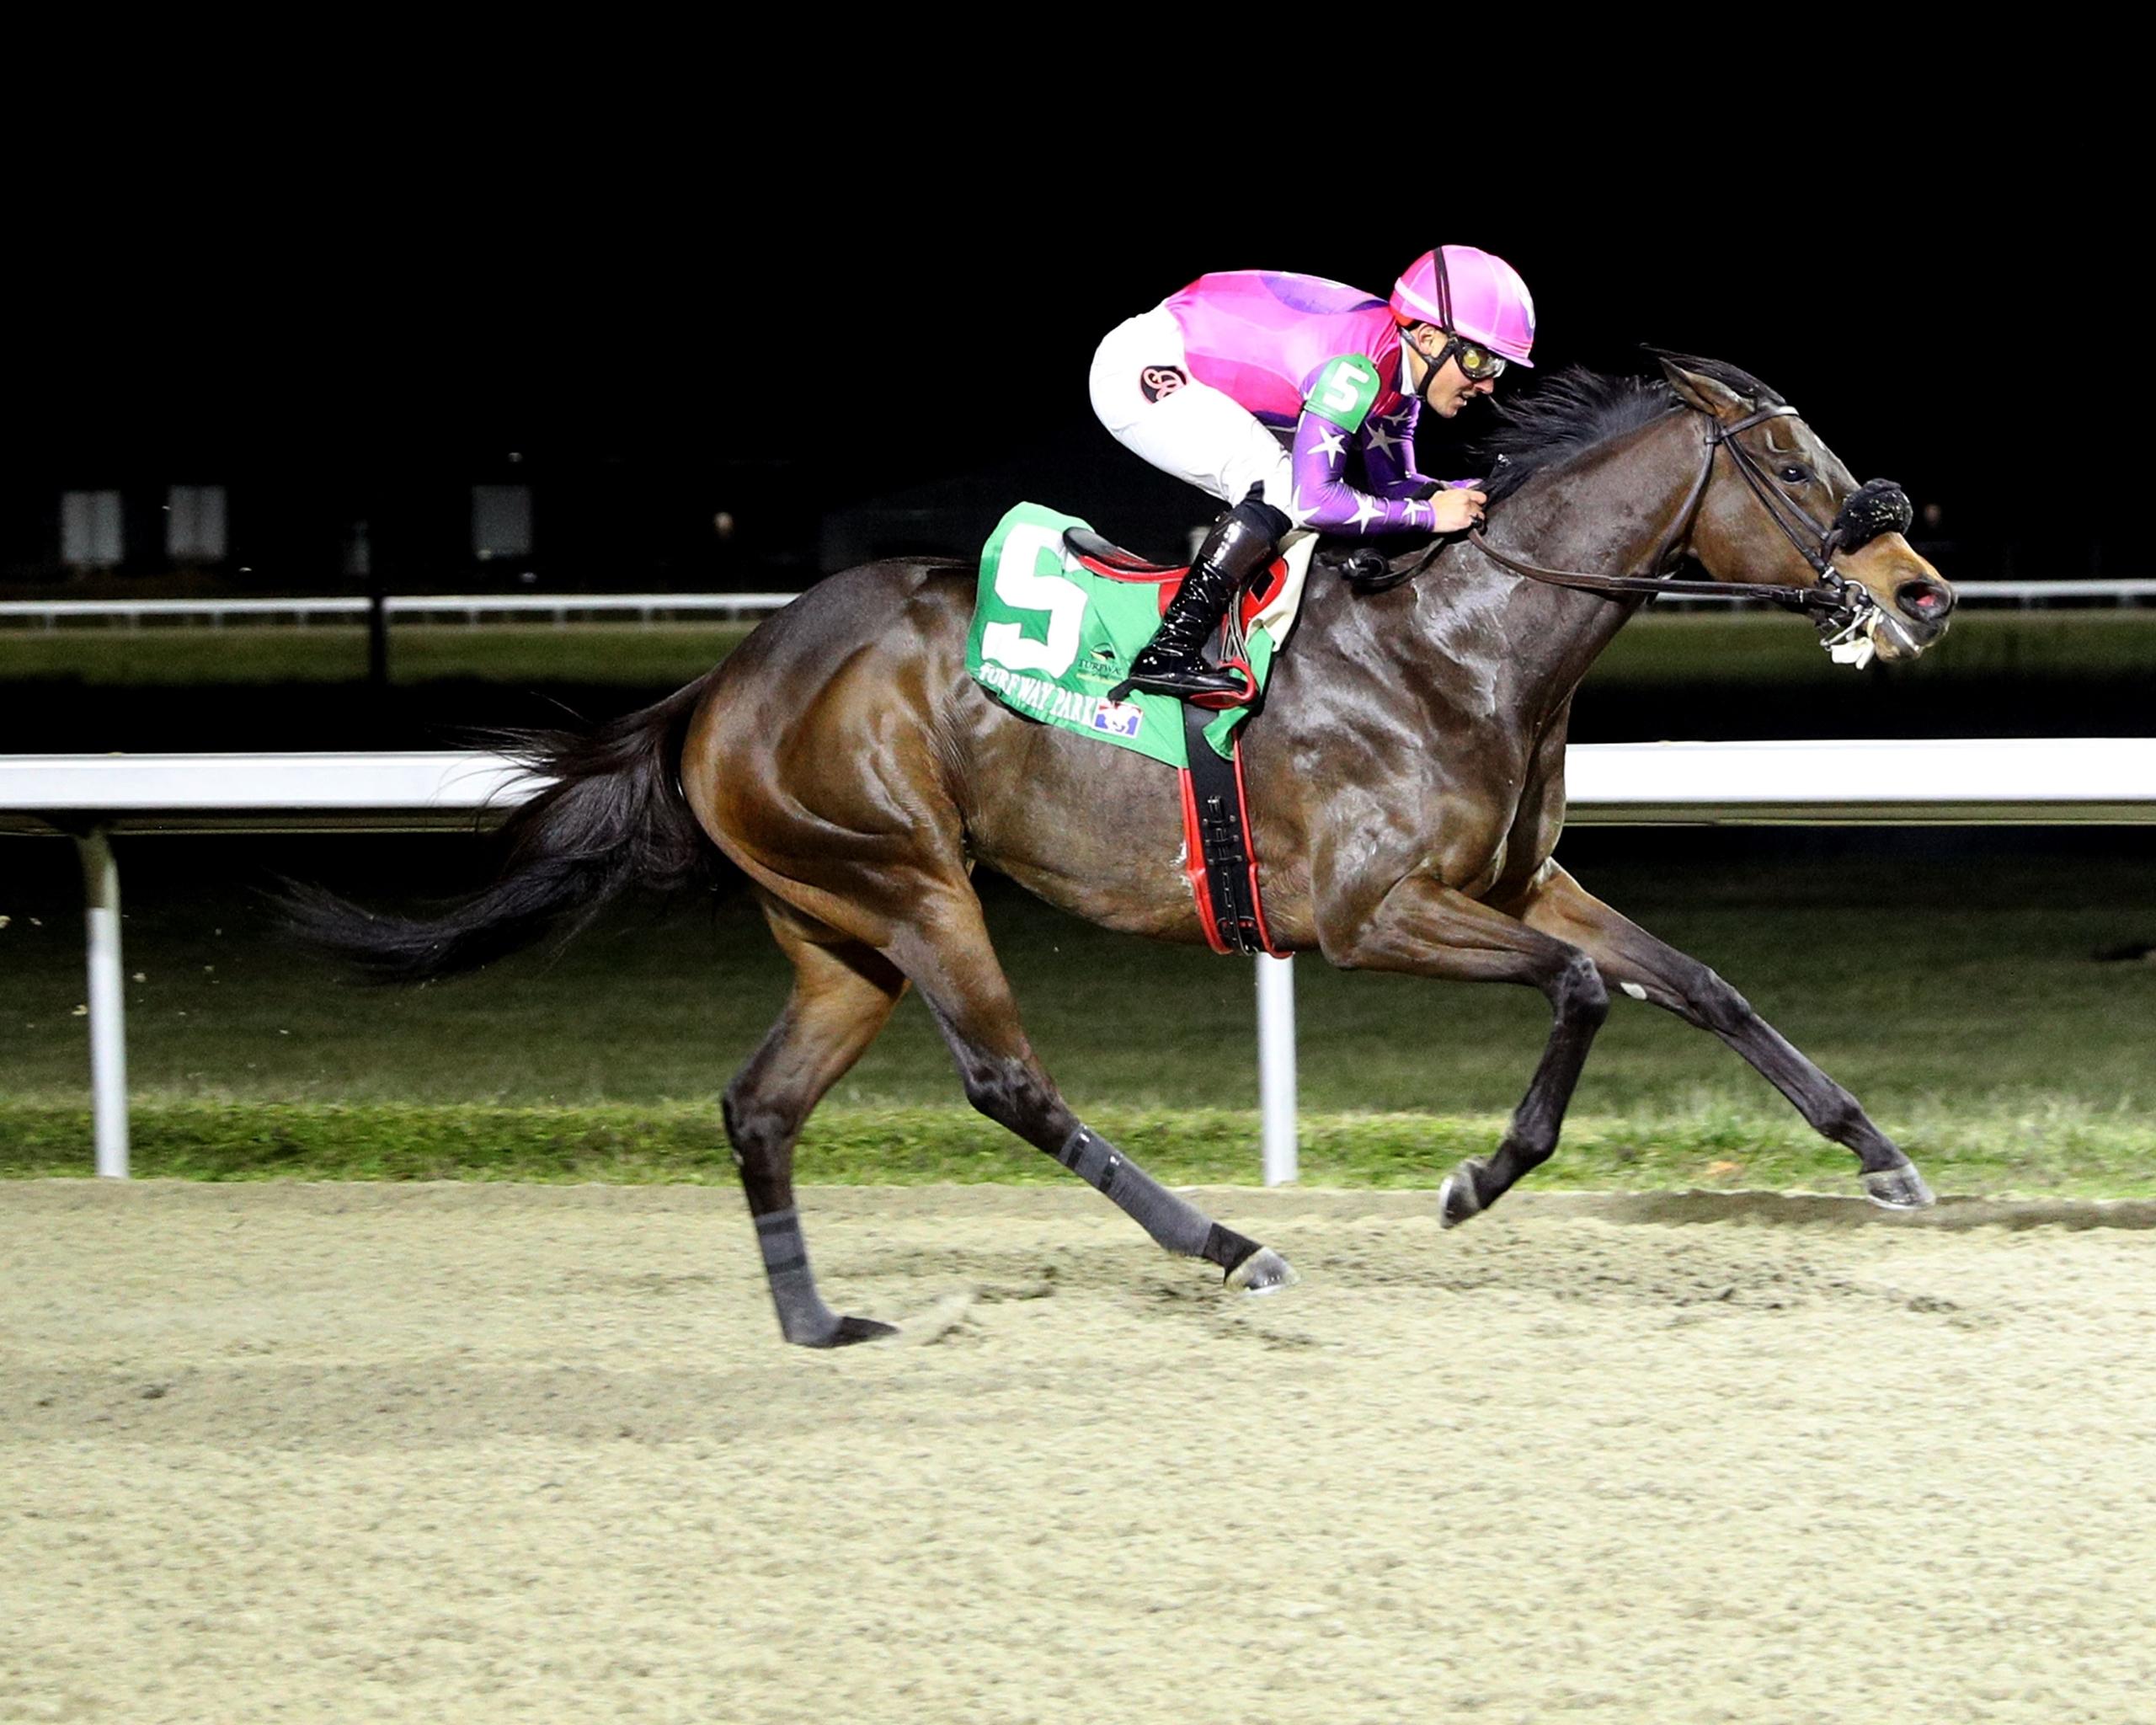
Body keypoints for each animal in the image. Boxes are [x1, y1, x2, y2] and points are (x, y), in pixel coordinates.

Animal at [286, 351, 1957, 1347]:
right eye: (1798, 473)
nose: (1923, 591)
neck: (1462, 648)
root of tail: (724, 682)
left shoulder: (1521, 880)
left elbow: (1703, 986)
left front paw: (1882, 1157)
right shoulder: (1376, 916)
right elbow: (1585, 997)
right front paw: (1476, 1180)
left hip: (835, 929)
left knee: (760, 1106)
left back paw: (819, 1321)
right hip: (915, 884)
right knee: (1007, 1082)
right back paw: (1226, 1243)